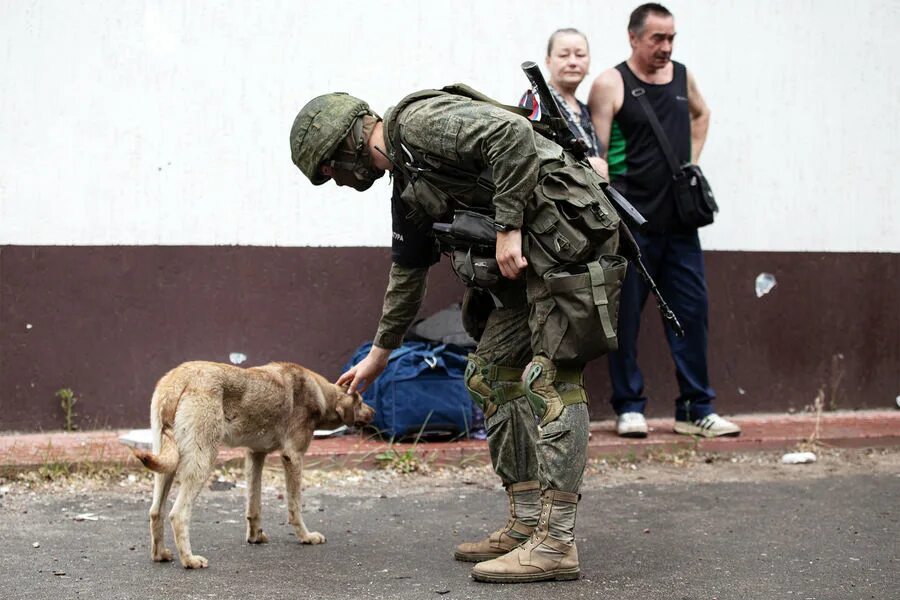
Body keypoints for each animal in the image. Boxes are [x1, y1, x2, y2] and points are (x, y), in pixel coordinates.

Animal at [132, 358, 374, 568]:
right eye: (361, 402)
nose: (374, 412)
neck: (319, 393)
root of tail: (178, 378)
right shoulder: (293, 457)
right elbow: (295, 506)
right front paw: (306, 536)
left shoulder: (255, 454)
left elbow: (254, 504)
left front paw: (255, 536)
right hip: (202, 461)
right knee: (178, 515)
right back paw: (190, 560)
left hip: (167, 464)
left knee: (156, 511)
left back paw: (160, 555)